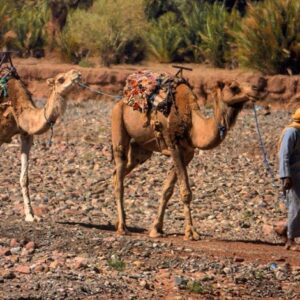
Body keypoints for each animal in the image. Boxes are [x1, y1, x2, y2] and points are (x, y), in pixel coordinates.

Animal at [112, 74, 258, 240]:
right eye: (233, 87)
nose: (255, 89)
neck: (193, 126)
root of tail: (120, 102)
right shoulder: (174, 146)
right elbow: (186, 192)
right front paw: (191, 232)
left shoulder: (188, 153)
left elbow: (167, 190)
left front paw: (156, 229)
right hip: (118, 123)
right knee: (120, 176)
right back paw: (122, 227)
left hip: (141, 149)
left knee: (118, 173)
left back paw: (118, 222)